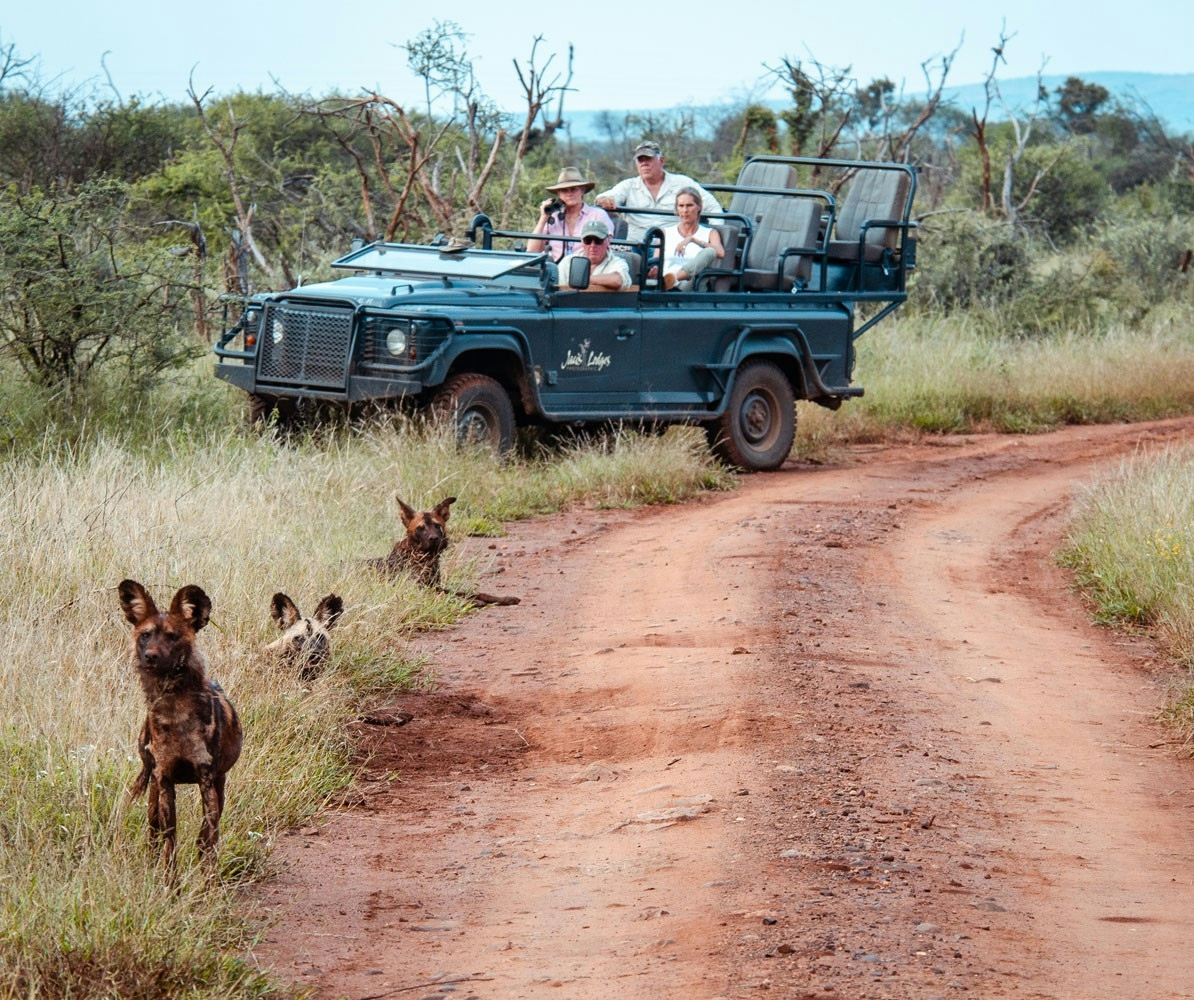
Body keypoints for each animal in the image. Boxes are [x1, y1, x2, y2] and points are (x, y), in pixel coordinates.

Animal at [119, 579, 243, 868]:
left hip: (218, 784)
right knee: (153, 831)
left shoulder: (207, 781)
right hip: (152, 783)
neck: (174, 711)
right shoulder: (165, 780)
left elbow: (207, 839)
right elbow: (170, 842)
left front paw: (207, 878)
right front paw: (169, 880)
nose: (151, 656)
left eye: (172, 636)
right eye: (145, 635)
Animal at [365, 496, 520, 606]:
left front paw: (504, 598)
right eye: (420, 528)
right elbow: (450, 597)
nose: (434, 538)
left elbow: (476, 593)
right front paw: (470, 602)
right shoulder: (422, 590)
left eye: (437, 525)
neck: (425, 557)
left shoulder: (436, 587)